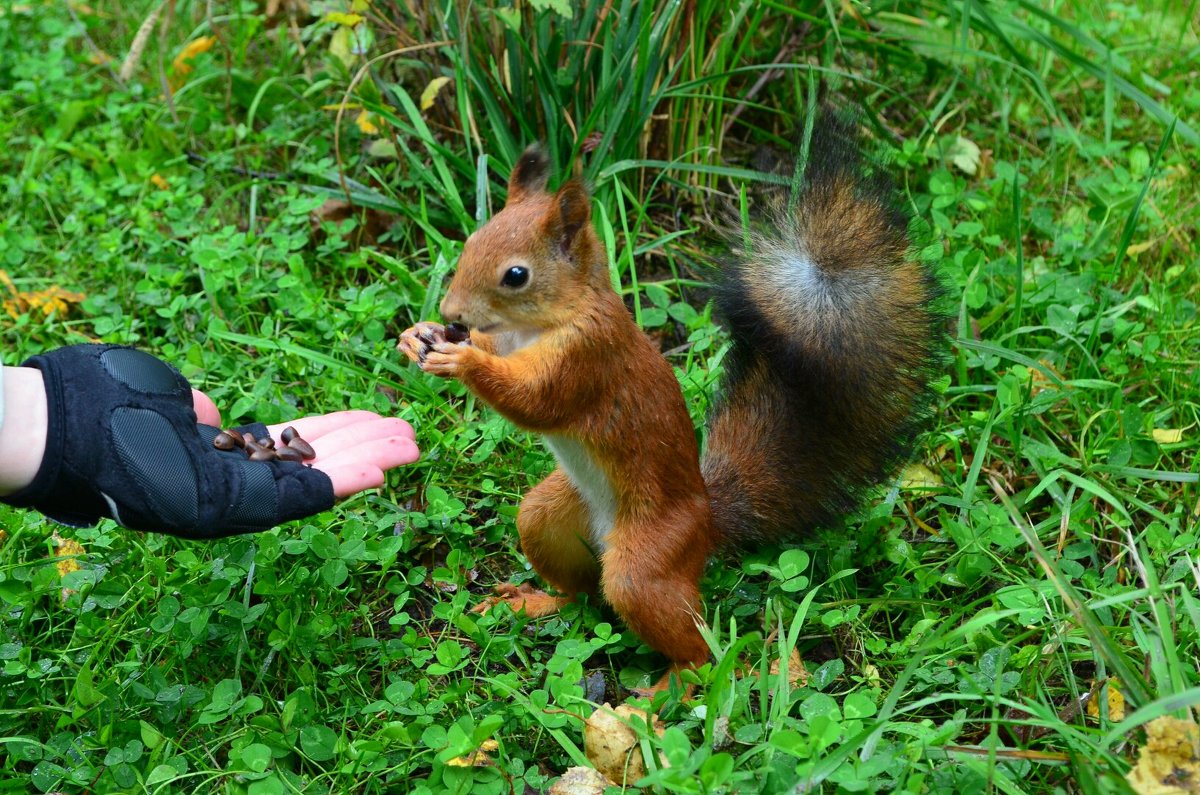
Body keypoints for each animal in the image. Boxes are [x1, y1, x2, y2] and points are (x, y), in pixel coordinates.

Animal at [398, 110, 940, 691]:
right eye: (471, 241)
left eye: (516, 275)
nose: (451, 312)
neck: (543, 323)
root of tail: (705, 523)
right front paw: (419, 336)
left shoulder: (588, 358)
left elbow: (535, 402)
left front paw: (461, 361)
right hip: (547, 518)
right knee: (581, 594)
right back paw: (535, 603)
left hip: (647, 561)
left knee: (693, 648)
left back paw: (657, 696)